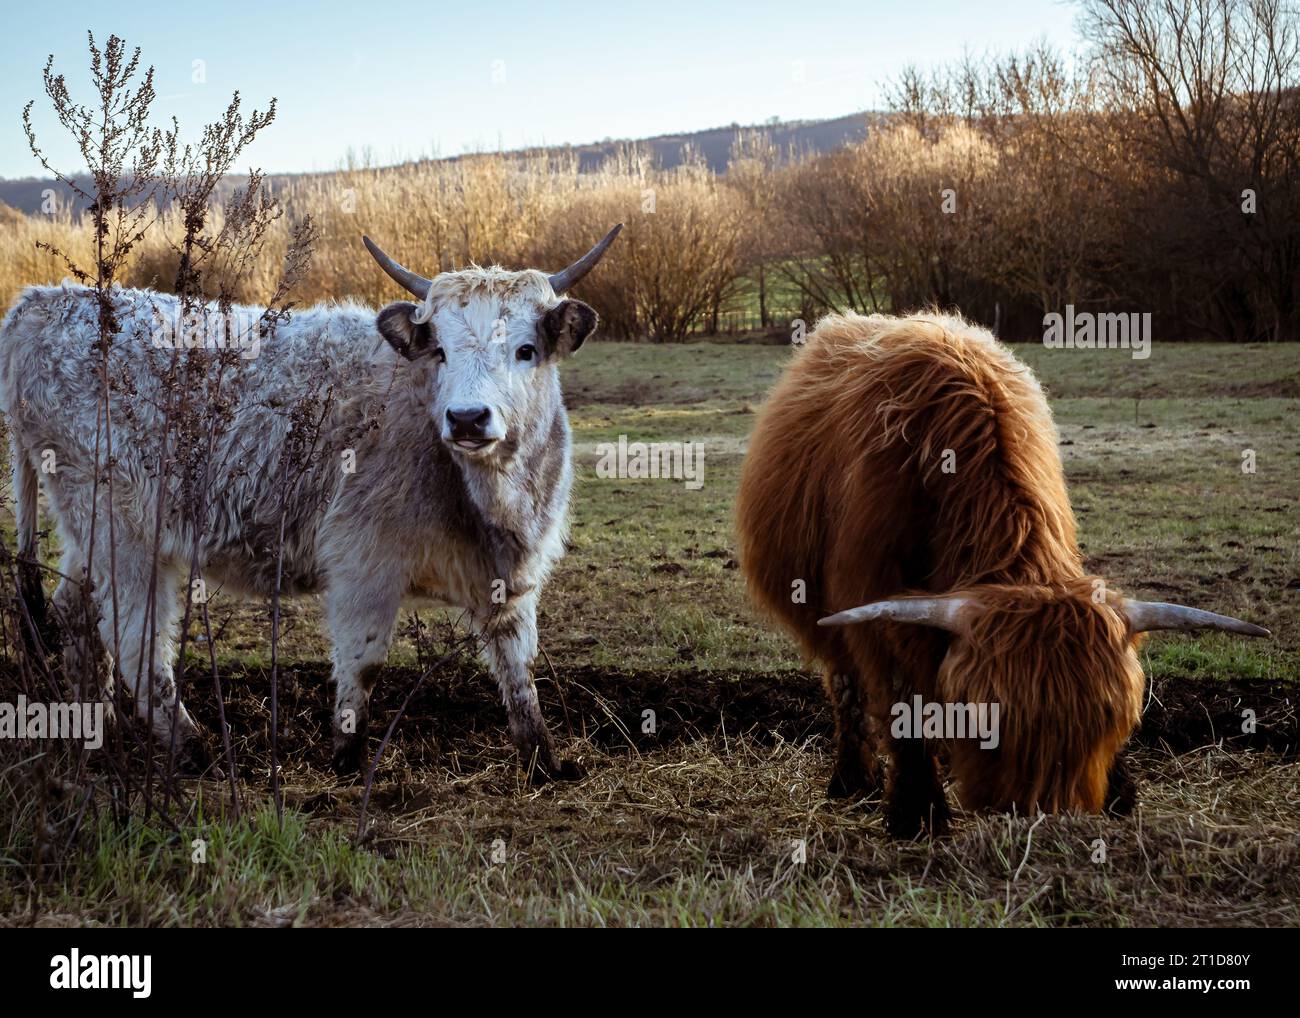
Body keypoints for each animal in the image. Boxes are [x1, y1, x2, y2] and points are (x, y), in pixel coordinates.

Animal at [0, 225, 622, 780]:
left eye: (526, 350)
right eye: (440, 351)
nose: (467, 418)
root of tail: (45, 302)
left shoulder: (508, 576)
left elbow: (519, 667)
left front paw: (544, 761)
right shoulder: (364, 563)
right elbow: (364, 663)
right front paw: (346, 760)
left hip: (88, 530)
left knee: (75, 614)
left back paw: (98, 738)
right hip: (119, 527)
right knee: (134, 640)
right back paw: (192, 749)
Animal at [735, 311, 1268, 837]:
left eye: (1110, 719)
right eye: (989, 724)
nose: (1051, 819)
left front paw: (1120, 789)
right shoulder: (874, 608)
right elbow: (902, 702)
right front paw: (916, 812)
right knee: (846, 688)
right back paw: (852, 782)